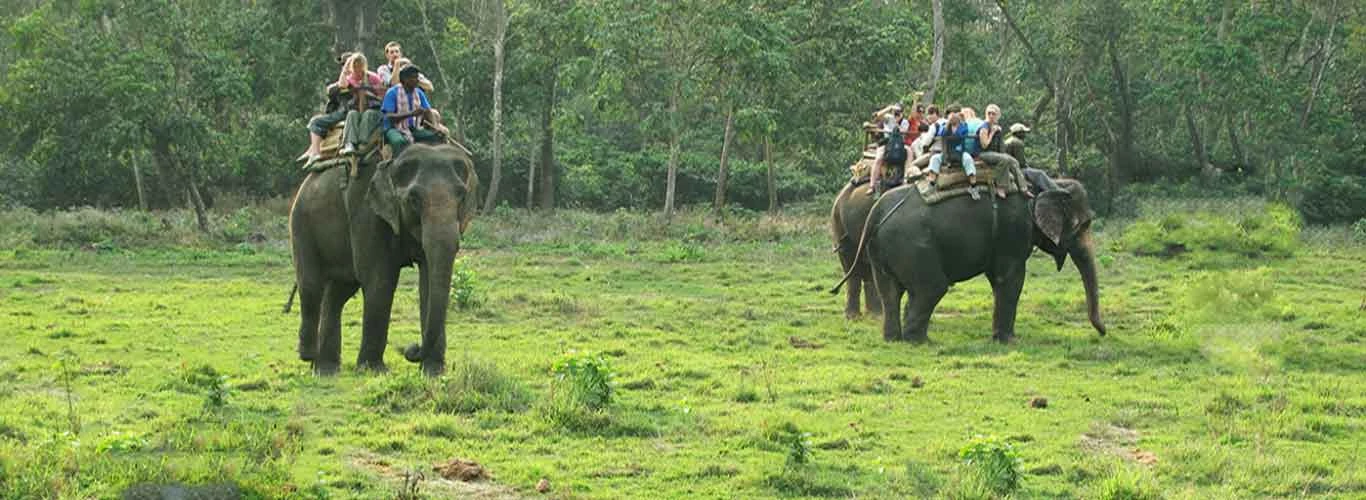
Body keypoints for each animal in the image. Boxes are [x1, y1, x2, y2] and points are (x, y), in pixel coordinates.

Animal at [288, 143, 480, 374]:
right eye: (413, 199)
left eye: (461, 196)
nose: (411, 349)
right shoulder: (366, 210)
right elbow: (380, 281)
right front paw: (373, 370)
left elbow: (427, 282)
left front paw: (433, 372)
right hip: (301, 221)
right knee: (311, 284)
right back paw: (309, 355)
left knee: (338, 292)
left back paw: (325, 369)